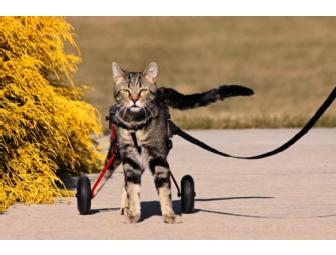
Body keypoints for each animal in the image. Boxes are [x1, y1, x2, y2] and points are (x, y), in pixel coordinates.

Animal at [107, 62, 252, 224]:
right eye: (126, 91)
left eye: (143, 90)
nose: (134, 99)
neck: (136, 125)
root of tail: (160, 90)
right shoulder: (131, 157)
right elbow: (132, 188)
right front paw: (133, 213)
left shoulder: (158, 156)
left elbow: (164, 189)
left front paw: (168, 214)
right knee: (123, 182)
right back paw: (125, 208)